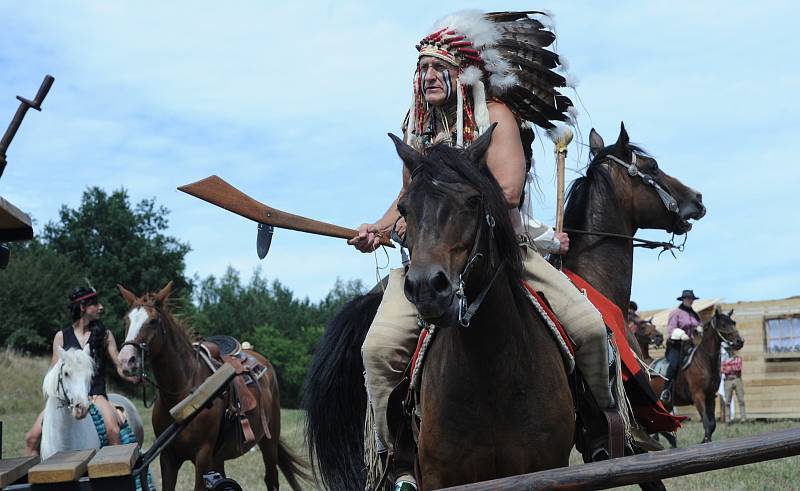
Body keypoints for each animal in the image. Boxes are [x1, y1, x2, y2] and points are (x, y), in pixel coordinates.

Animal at [117, 282, 308, 490]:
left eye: (152, 321)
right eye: (126, 320)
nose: (126, 360)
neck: (182, 395)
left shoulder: (202, 455)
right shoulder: (168, 458)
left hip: (268, 441)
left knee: (271, 479)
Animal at [648, 310, 744, 444]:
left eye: (733, 322)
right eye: (723, 324)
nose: (739, 341)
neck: (704, 362)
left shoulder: (710, 397)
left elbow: (712, 424)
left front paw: (705, 439)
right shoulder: (698, 396)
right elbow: (707, 422)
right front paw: (706, 440)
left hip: (666, 405)